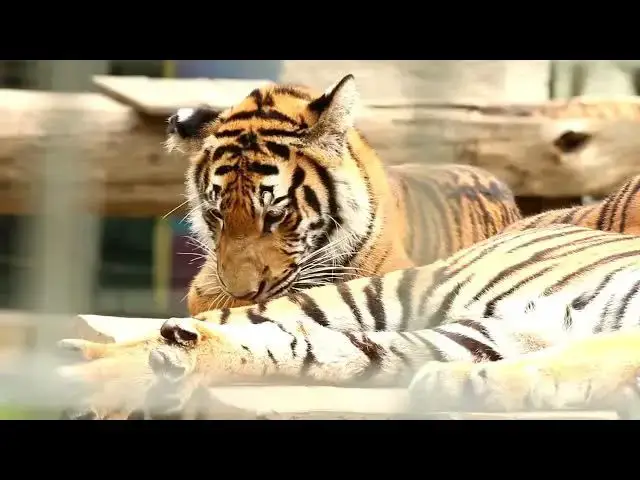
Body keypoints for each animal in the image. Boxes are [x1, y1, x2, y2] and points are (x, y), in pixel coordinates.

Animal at [58, 223, 640, 419]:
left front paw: (466, 387)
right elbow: (580, 357)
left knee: (303, 345)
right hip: (376, 294)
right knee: (244, 318)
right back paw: (77, 366)